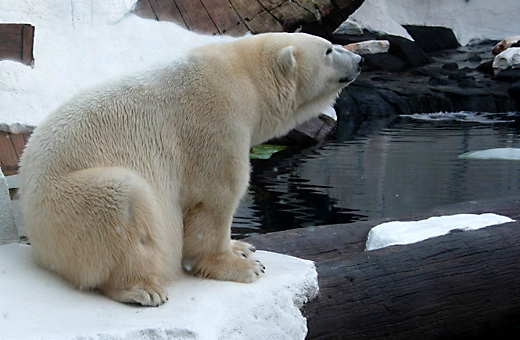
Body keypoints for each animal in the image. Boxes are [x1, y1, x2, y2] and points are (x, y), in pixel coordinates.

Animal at [19, 33, 362, 306]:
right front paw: (244, 267)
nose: (359, 60)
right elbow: (214, 199)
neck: (246, 80)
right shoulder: (217, 120)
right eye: (329, 50)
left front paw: (242, 247)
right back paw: (143, 289)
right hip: (66, 204)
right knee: (123, 199)